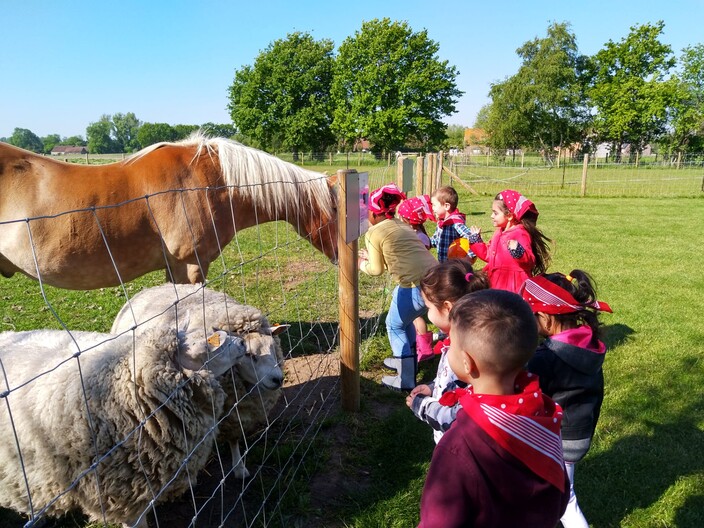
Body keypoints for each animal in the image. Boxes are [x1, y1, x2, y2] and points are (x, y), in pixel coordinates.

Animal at [110, 284, 286, 478]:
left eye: (272, 346)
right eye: (248, 354)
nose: (278, 379)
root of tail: (149, 289)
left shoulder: (234, 416)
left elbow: (234, 440)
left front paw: (239, 467)